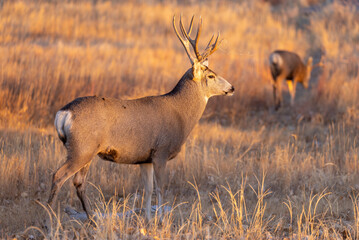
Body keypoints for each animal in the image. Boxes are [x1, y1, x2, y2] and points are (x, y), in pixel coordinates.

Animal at [47, 15, 235, 221]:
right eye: (211, 75)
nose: (232, 87)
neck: (180, 113)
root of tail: (64, 113)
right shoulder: (161, 151)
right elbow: (161, 189)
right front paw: (161, 219)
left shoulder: (145, 158)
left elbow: (148, 190)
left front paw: (148, 219)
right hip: (82, 148)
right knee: (58, 176)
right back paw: (49, 222)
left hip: (86, 150)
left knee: (79, 182)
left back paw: (93, 220)